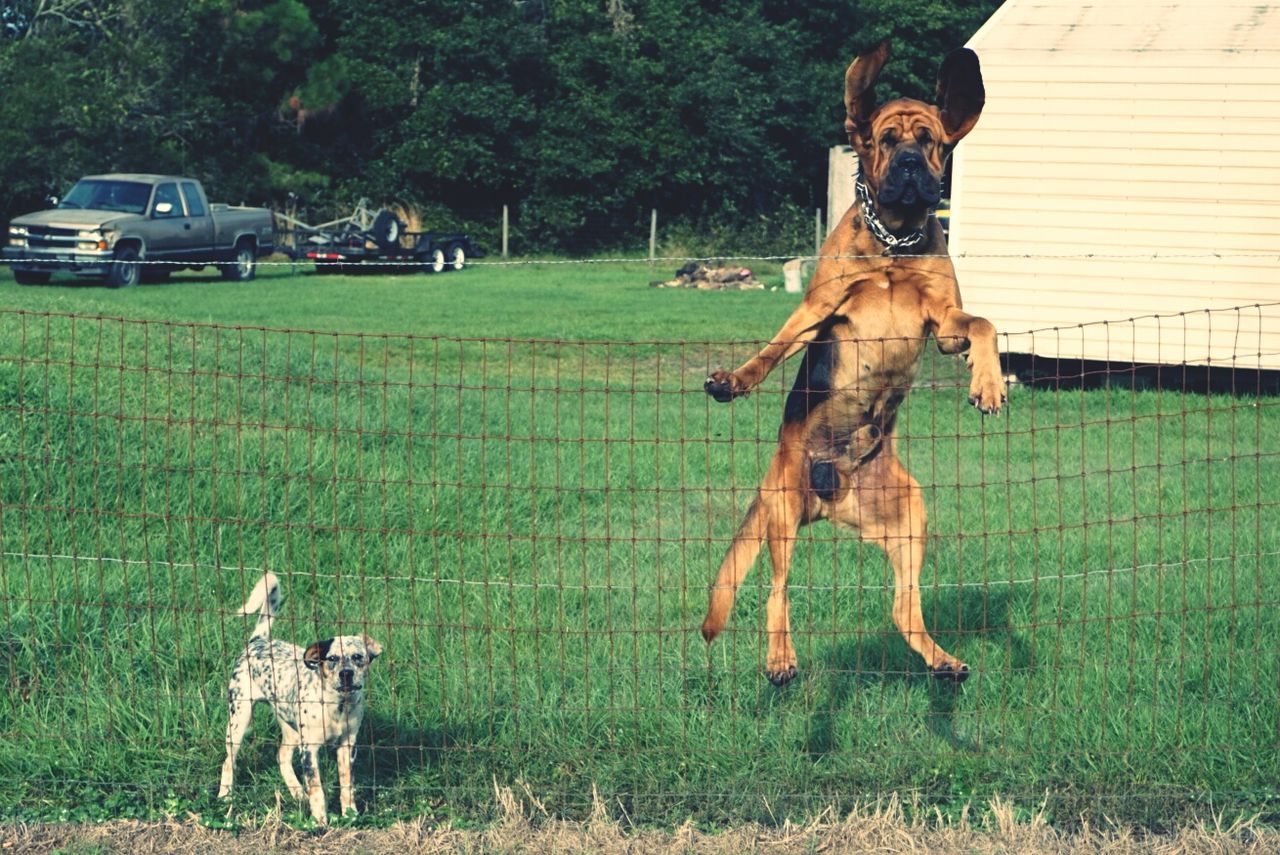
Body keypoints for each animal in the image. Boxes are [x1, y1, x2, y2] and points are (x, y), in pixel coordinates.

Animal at [215, 570, 381, 824]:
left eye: (358, 657)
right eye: (331, 659)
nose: (346, 674)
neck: (336, 705)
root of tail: (257, 640)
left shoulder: (347, 746)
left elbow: (347, 786)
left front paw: (350, 815)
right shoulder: (309, 750)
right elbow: (317, 789)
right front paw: (320, 822)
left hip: (291, 728)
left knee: (282, 756)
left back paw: (297, 792)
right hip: (238, 720)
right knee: (228, 762)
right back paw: (225, 797)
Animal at [701, 41, 998, 686]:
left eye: (932, 141)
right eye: (886, 140)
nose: (911, 165)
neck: (894, 243)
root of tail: (830, 493)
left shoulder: (945, 324)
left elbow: (983, 325)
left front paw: (989, 386)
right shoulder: (818, 311)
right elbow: (772, 350)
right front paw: (732, 381)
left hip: (910, 513)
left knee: (903, 607)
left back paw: (942, 662)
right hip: (783, 508)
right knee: (776, 591)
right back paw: (780, 658)